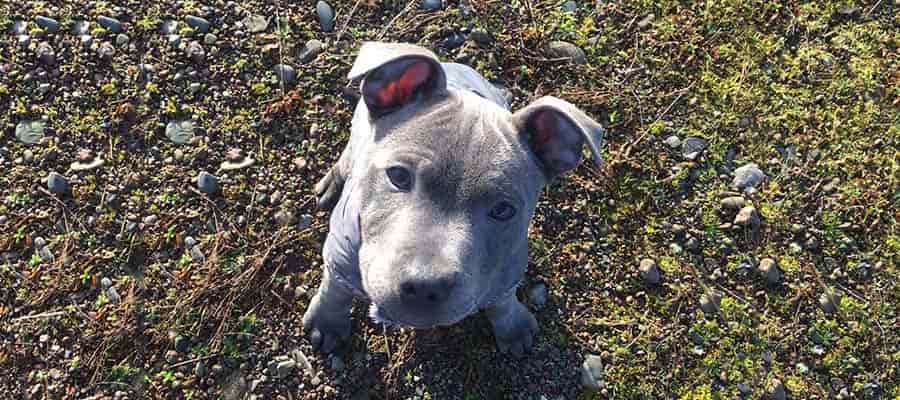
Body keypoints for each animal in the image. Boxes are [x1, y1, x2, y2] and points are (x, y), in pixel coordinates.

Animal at [302, 43, 604, 356]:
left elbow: (502, 301)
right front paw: (327, 322)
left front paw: (513, 326)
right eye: (398, 176)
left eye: (503, 210)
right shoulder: (339, 255)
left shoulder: (507, 270)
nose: (425, 286)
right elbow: (335, 289)